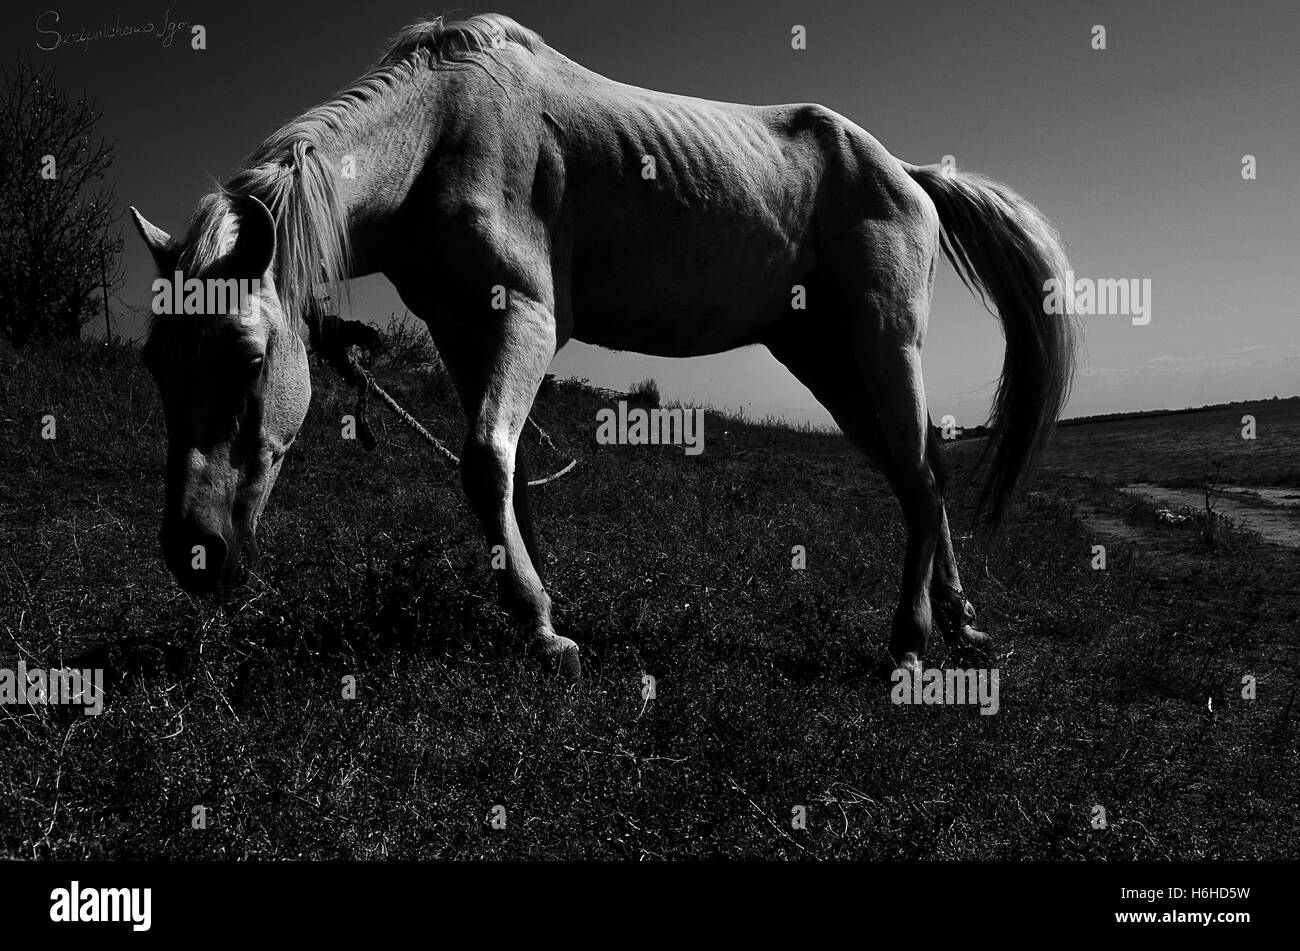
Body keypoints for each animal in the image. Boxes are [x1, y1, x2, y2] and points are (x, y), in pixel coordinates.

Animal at [129, 16, 1076, 685]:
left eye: (250, 355)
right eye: (154, 364)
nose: (194, 555)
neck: (440, 135)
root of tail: (911, 176)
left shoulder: (527, 321)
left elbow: (486, 459)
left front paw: (543, 631)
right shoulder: (464, 334)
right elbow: (502, 472)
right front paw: (538, 608)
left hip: (885, 340)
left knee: (920, 475)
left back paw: (910, 642)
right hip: (827, 360)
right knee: (917, 474)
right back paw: (961, 625)